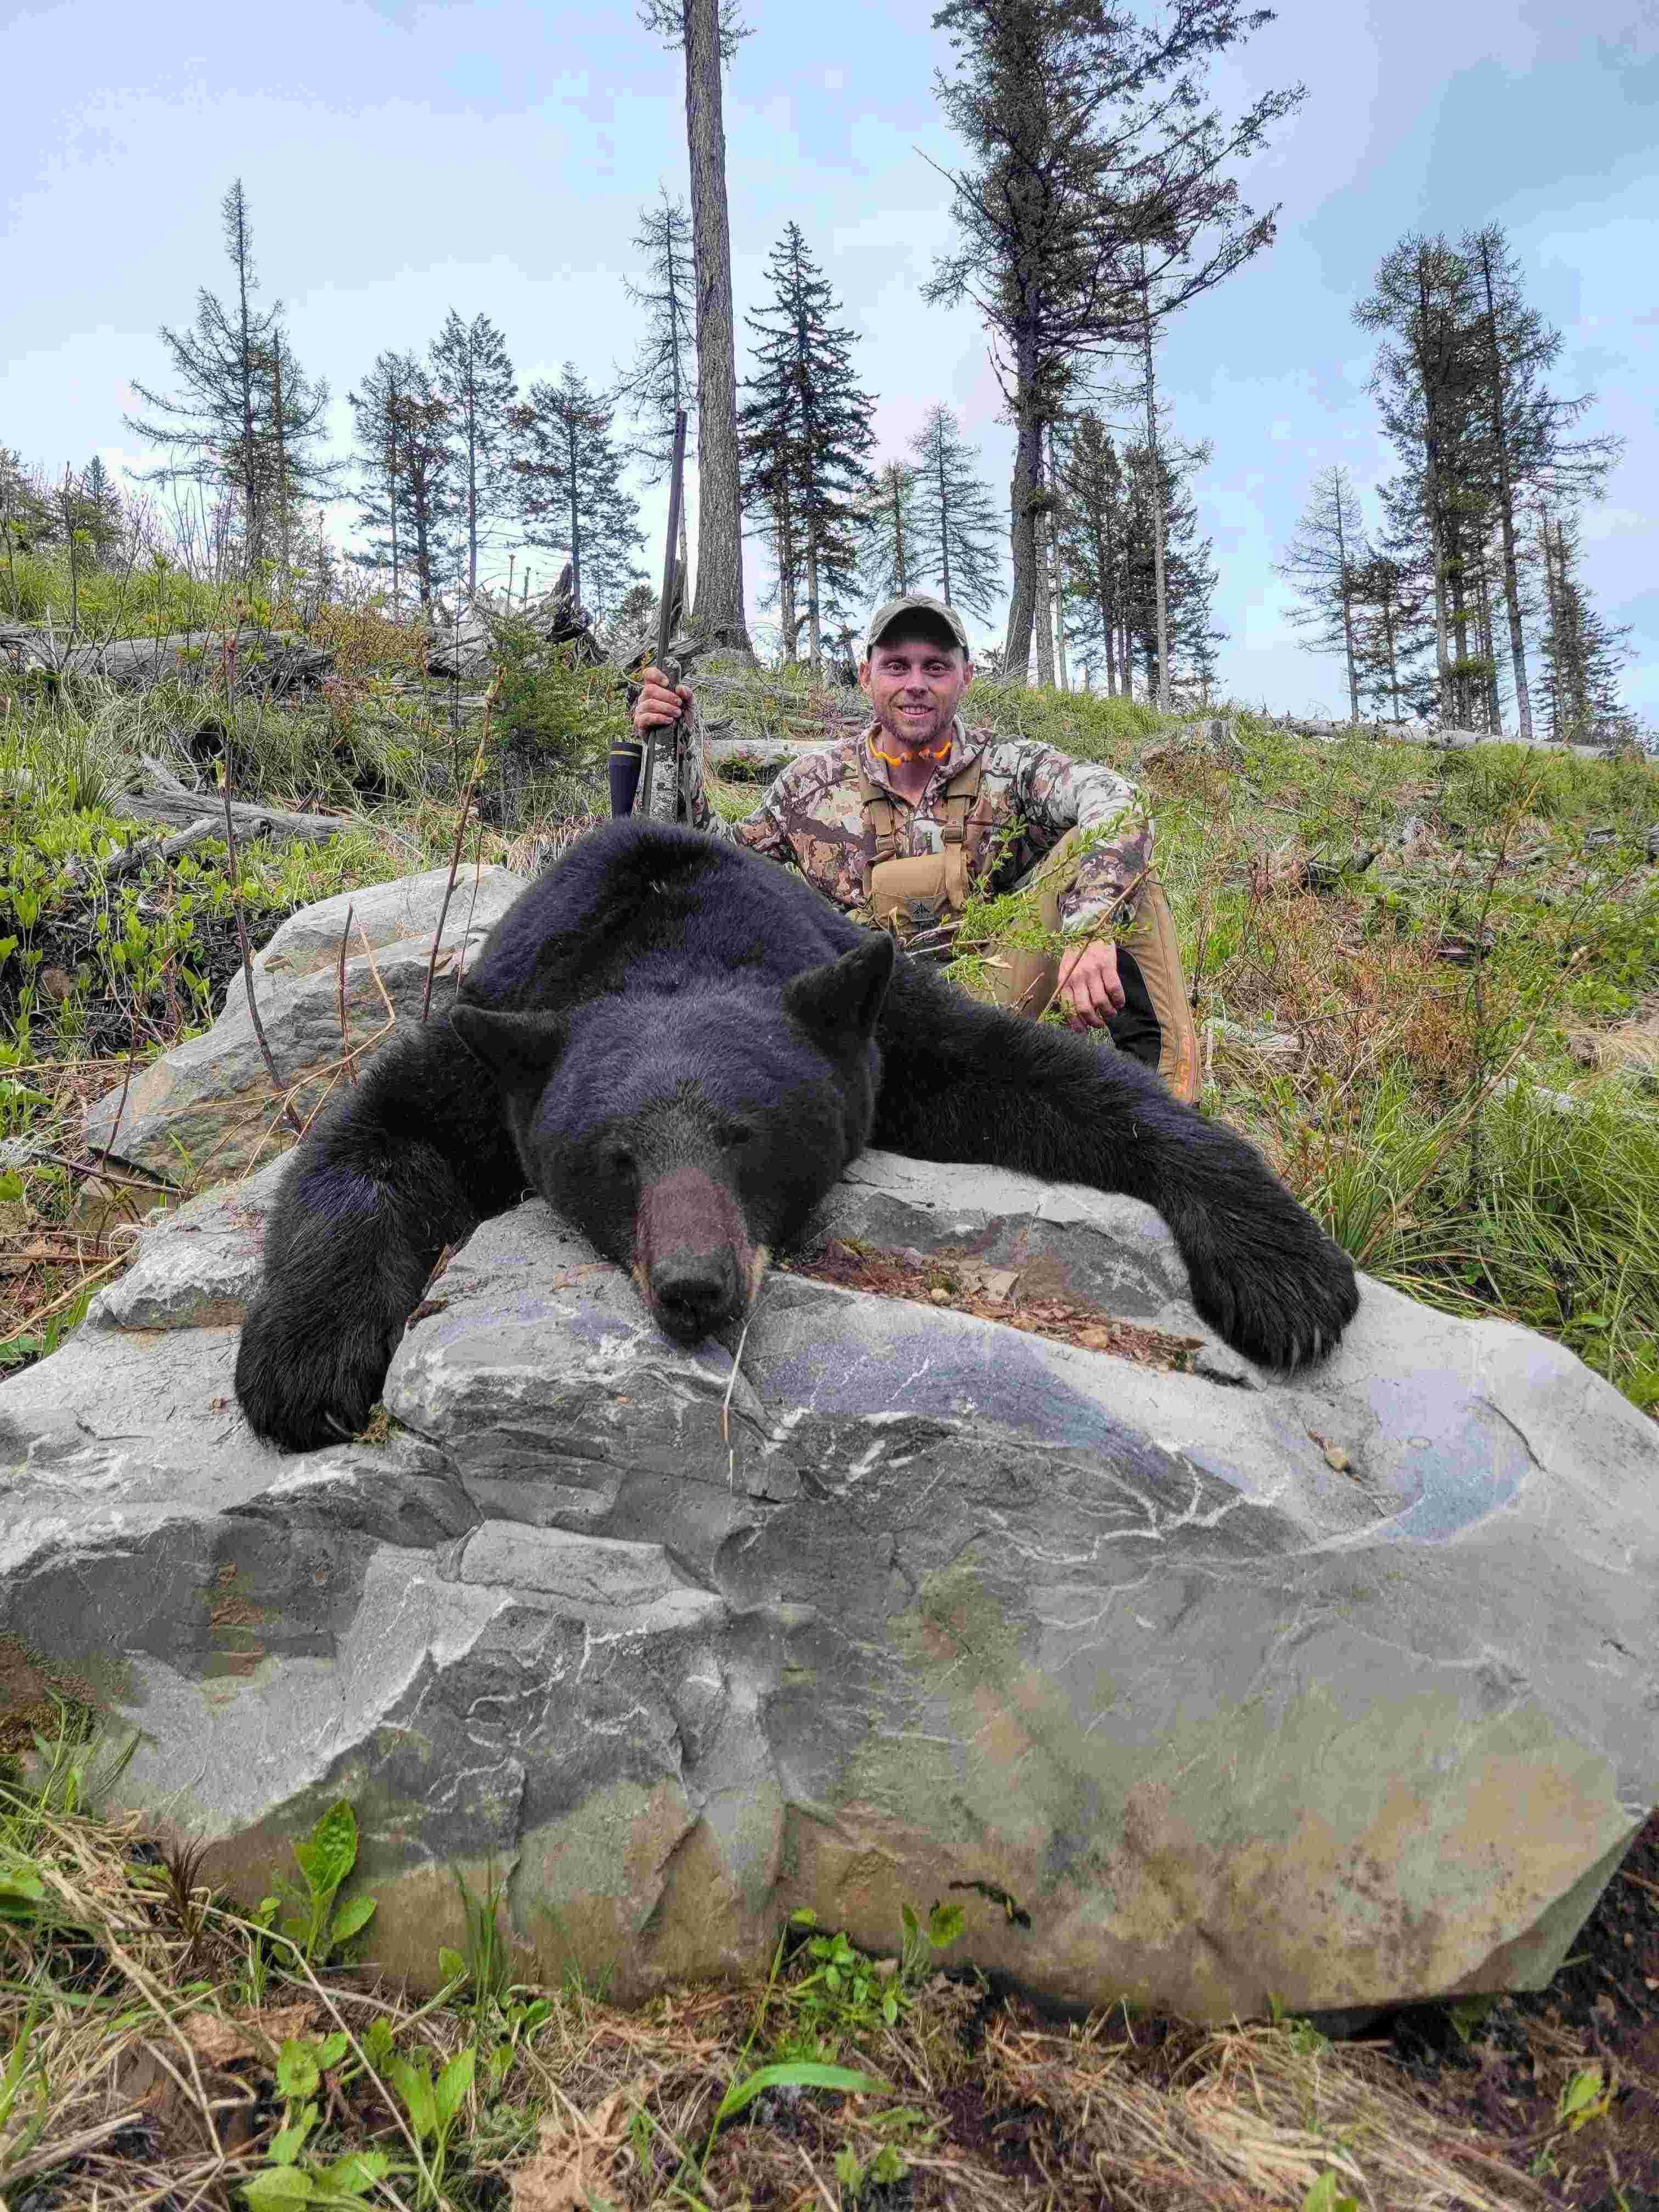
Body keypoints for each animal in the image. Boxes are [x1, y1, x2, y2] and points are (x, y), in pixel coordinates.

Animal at [236, 818, 1362, 1451]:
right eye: (616, 1158)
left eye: (745, 1134)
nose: (694, 1284)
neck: (668, 936)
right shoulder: (496, 1031)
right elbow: (367, 1137)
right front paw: (303, 1365)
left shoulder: (873, 1021)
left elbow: (1051, 1079)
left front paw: (1285, 1270)